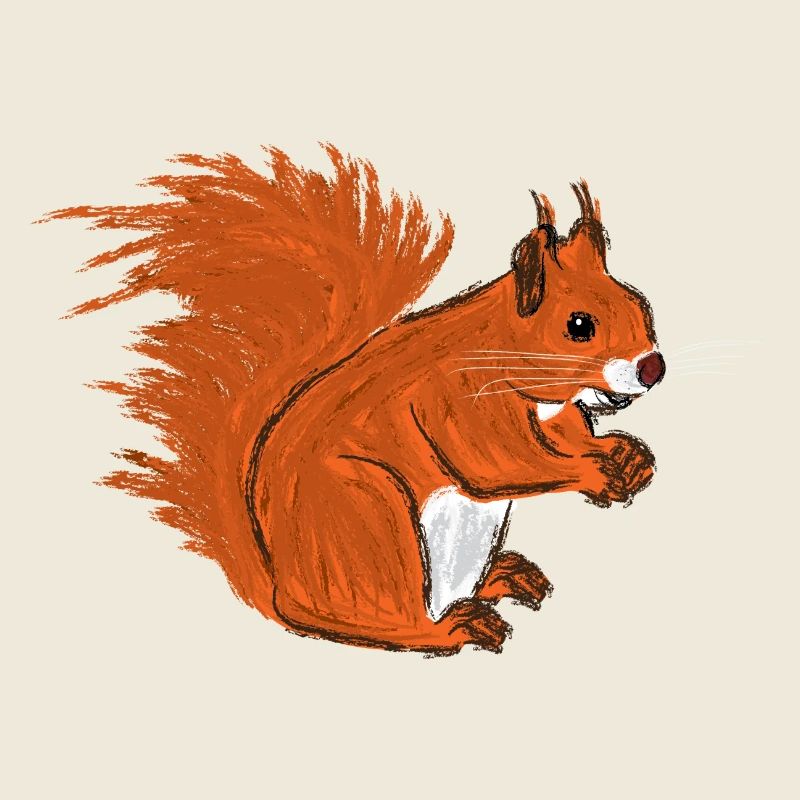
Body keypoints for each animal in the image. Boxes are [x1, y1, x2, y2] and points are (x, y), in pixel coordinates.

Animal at [51, 145, 664, 655]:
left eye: (640, 304)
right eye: (578, 326)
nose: (652, 367)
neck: (503, 353)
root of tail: (279, 592)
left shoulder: (553, 413)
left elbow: (566, 438)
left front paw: (625, 455)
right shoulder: (456, 399)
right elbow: (500, 464)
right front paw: (595, 472)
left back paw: (503, 576)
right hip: (371, 516)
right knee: (392, 623)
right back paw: (455, 626)